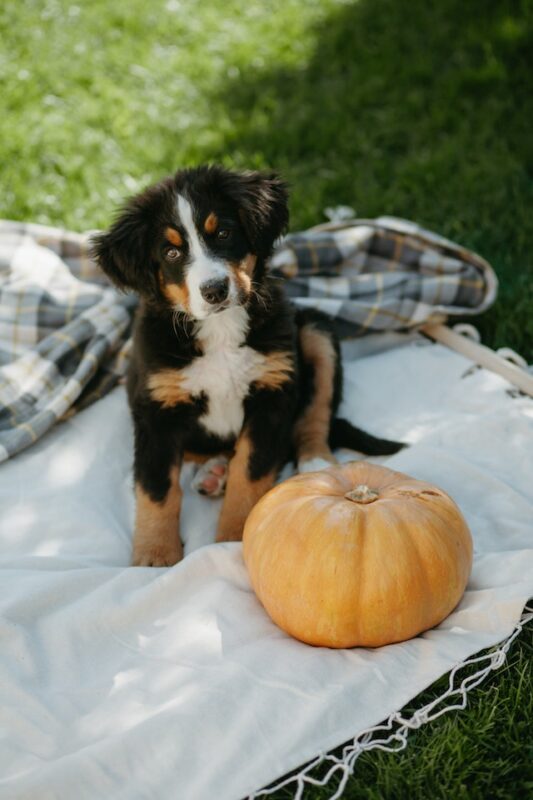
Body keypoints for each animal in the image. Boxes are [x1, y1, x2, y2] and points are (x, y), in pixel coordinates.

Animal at [91, 166, 402, 564]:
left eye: (223, 233)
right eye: (172, 252)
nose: (214, 290)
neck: (220, 331)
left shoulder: (272, 393)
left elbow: (250, 472)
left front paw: (233, 539)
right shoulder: (156, 409)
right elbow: (157, 488)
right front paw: (154, 555)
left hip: (315, 331)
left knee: (315, 414)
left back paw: (316, 466)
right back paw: (213, 472)